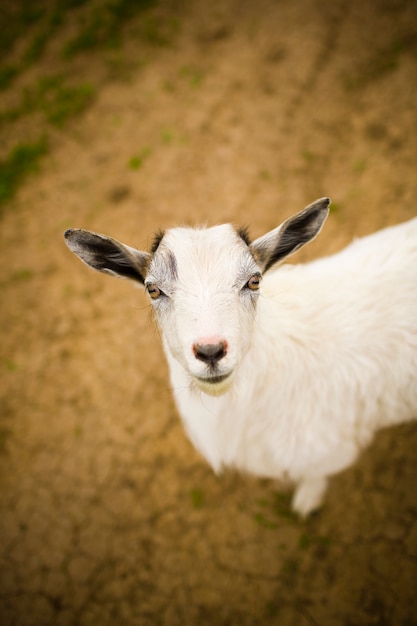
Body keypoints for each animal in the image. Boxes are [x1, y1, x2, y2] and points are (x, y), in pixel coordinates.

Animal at [64, 197, 416, 516]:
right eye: (153, 289)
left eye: (254, 280)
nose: (210, 351)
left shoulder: (326, 448)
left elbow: (315, 476)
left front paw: (307, 500)